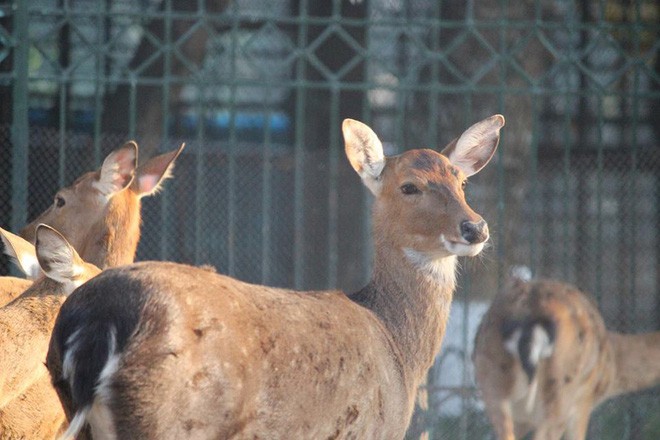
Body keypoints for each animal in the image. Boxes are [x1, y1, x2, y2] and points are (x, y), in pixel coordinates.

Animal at [47, 114, 506, 440]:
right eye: (409, 186)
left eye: (461, 182)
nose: (476, 228)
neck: (399, 350)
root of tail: (98, 323)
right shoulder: (367, 429)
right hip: (166, 416)